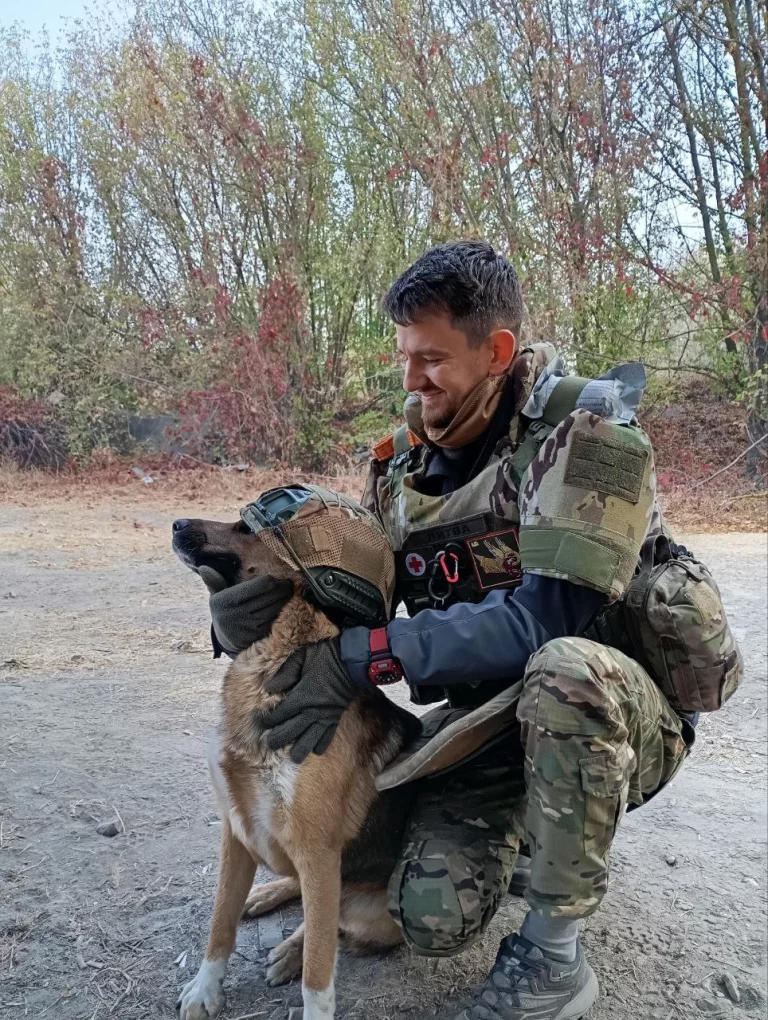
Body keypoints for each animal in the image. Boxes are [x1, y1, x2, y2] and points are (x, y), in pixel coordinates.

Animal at [172, 510, 420, 1020]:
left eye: (245, 528)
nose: (176, 523)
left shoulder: (317, 851)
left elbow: (319, 974)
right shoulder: (234, 830)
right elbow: (219, 923)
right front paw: (205, 988)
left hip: (376, 911)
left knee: (334, 923)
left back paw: (290, 951)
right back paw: (268, 901)